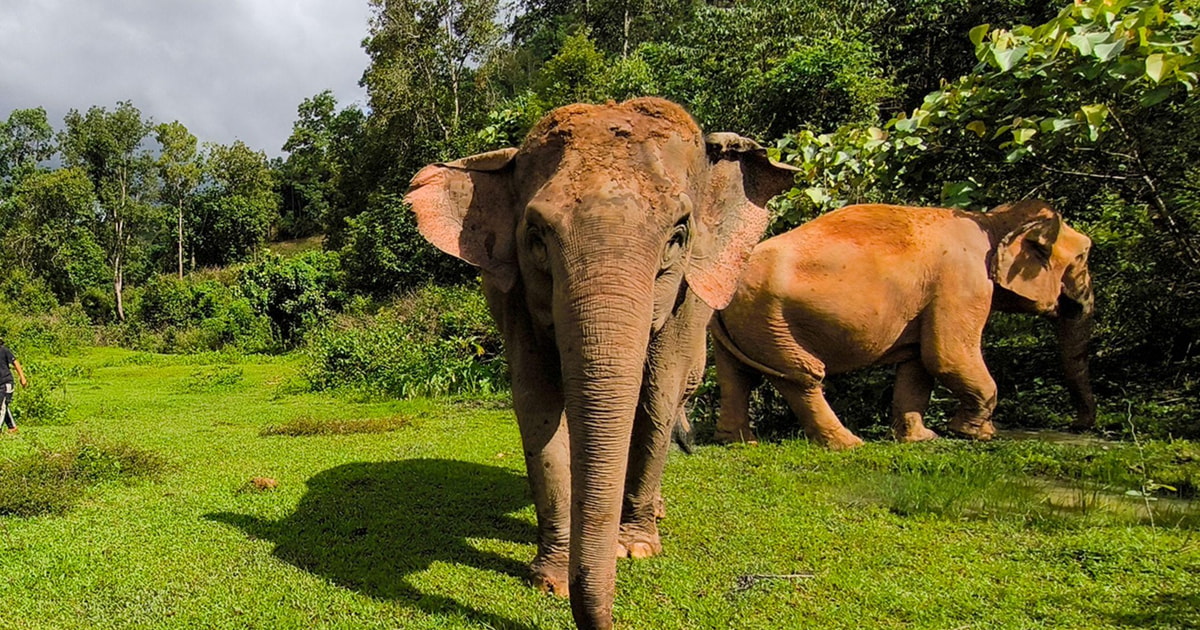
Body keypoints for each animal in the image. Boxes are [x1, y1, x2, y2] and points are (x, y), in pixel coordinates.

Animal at [405, 98, 798, 629]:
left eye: (678, 236)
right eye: (535, 236)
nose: (608, 620)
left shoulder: (686, 296)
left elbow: (657, 394)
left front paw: (635, 549)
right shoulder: (515, 294)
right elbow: (537, 404)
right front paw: (549, 579)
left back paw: (655, 513)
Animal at [710, 200, 1096, 449]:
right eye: (1083, 256)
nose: (1077, 426)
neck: (991, 221)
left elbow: (918, 365)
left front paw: (923, 439)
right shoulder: (962, 282)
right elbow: (946, 357)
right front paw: (975, 435)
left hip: (749, 323)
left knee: (737, 376)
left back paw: (741, 442)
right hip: (771, 322)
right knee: (803, 376)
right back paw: (850, 445)